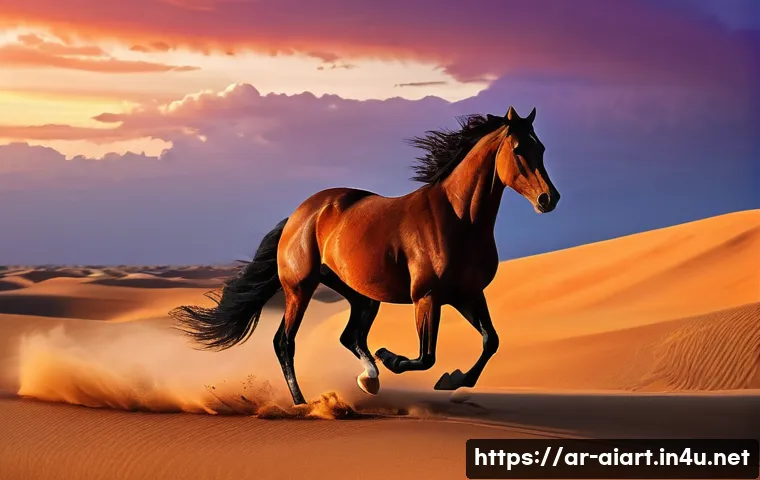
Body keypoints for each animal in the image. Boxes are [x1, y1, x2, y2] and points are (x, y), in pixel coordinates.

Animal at [170, 105, 560, 405]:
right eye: (519, 149)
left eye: (542, 148)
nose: (549, 199)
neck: (459, 218)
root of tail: (299, 214)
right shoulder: (428, 297)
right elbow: (426, 356)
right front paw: (394, 359)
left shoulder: (467, 295)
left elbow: (490, 341)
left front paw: (452, 379)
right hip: (300, 289)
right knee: (285, 341)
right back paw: (302, 402)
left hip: (360, 295)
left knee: (350, 336)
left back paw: (368, 379)